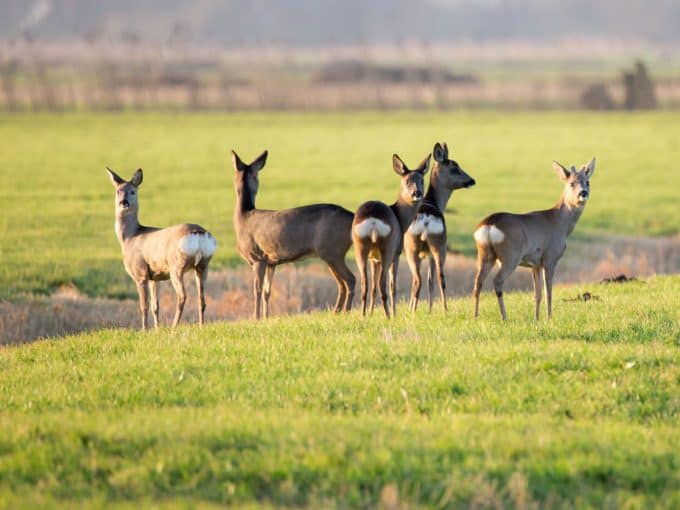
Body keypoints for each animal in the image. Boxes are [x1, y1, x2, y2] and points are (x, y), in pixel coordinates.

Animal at [106, 165, 215, 328]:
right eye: (118, 191)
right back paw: (201, 325)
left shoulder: (140, 273)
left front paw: (145, 329)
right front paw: (157, 329)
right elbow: (155, 306)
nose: (123, 202)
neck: (130, 237)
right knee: (201, 299)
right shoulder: (154, 277)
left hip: (176, 265)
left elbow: (143, 306)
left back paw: (174, 327)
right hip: (203, 265)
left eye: (133, 191)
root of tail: (198, 233)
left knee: (182, 296)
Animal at [231, 149, 356, 320]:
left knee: (350, 280)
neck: (243, 217)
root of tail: (353, 216)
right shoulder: (271, 262)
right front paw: (266, 318)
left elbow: (257, 291)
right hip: (331, 254)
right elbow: (267, 292)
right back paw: (336, 312)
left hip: (333, 251)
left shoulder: (257, 257)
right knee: (342, 283)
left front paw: (256, 319)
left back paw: (345, 312)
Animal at [350, 152, 430, 318]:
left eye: (422, 180)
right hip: (388, 246)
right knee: (383, 284)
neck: (401, 218)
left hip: (360, 246)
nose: (417, 193)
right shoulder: (397, 253)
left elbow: (373, 287)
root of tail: (373, 220)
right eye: (407, 181)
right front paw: (394, 314)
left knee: (365, 283)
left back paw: (363, 316)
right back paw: (388, 316)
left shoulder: (374, 259)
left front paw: (371, 313)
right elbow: (393, 286)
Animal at [404, 141, 478, 312]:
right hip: (437, 244)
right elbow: (430, 280)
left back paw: (416, 311)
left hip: (420, 247)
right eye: (454, 167)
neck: (436, 202)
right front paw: (429, 309)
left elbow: (427, 280)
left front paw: (426, 309)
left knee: (420, 279)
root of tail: (426, 221)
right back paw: (444, 309)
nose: (471, 180)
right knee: (438, 277)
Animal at [472, 157, 596, 320]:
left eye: (587, 182)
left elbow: (537, 295)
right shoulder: (550, 258)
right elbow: (548, 293)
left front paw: (536, 319)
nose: (583, 193)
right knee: (497, 281)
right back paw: (504, 317)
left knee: (477, 283)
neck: (560, 223)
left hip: (485, 254)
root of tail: (488, 224)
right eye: (571, 183)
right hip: (510, 255)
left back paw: (475, 316)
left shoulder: (535, 264)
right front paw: (549, 318)